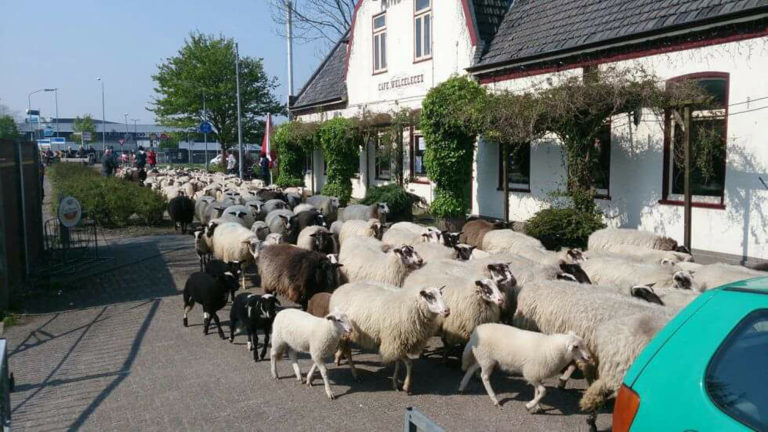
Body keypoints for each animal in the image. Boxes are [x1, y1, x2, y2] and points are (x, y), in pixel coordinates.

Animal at [460, 324, 592, 412]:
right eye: (576, 346)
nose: (589, 357)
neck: (552, 349)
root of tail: (476, 332)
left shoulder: (537, 373)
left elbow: (537, 390)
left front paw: (536, 406)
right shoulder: (530, 373)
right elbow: (543, 391)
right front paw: (530, 405)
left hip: (484, 357)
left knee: (471, 368)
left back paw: (462, 386)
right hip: (487, 359)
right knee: (485, 377)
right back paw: (495, 400)